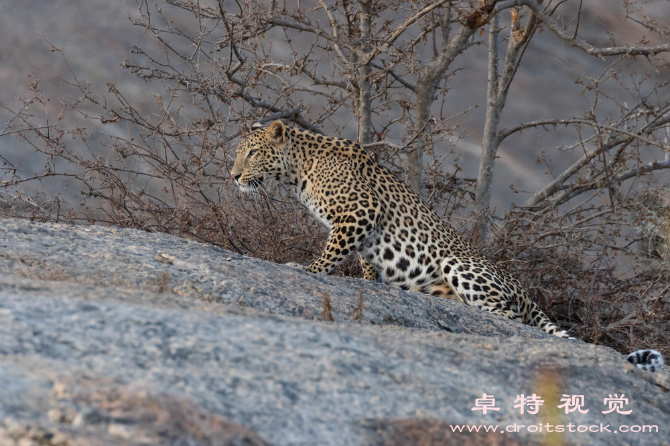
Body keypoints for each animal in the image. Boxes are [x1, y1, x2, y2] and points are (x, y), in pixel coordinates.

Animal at [231, 119, 668, 372]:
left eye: (251, 153)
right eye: (239, 153)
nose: (232, 175)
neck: (298, 169)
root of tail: (526, 292)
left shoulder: (360, 213)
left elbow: (331, 252)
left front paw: (306, 269)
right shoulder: (364, 233)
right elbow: (366, 264)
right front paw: (370, 283)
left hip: (461, 266)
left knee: (510, 319)